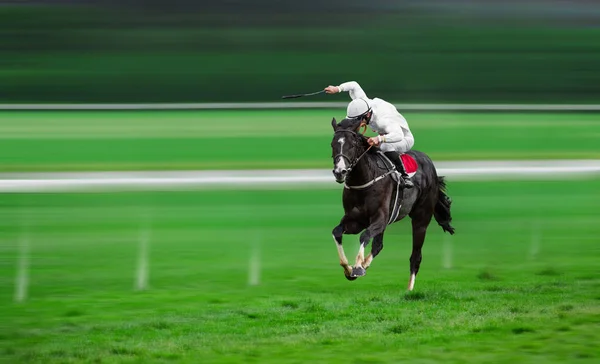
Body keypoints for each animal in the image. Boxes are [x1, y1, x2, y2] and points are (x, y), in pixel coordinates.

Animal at [328, 116, 454, 290]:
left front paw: (358, 267)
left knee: (416, 256)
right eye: (333, 144)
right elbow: (337, 232)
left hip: (421, 219)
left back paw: (409, 290)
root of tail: (431, 167)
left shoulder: (380, 218)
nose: (340, 172)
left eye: (352, 145)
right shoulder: (356, 221)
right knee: (378, 245)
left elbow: (364, 235)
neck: (365, 179)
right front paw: (349, 269)